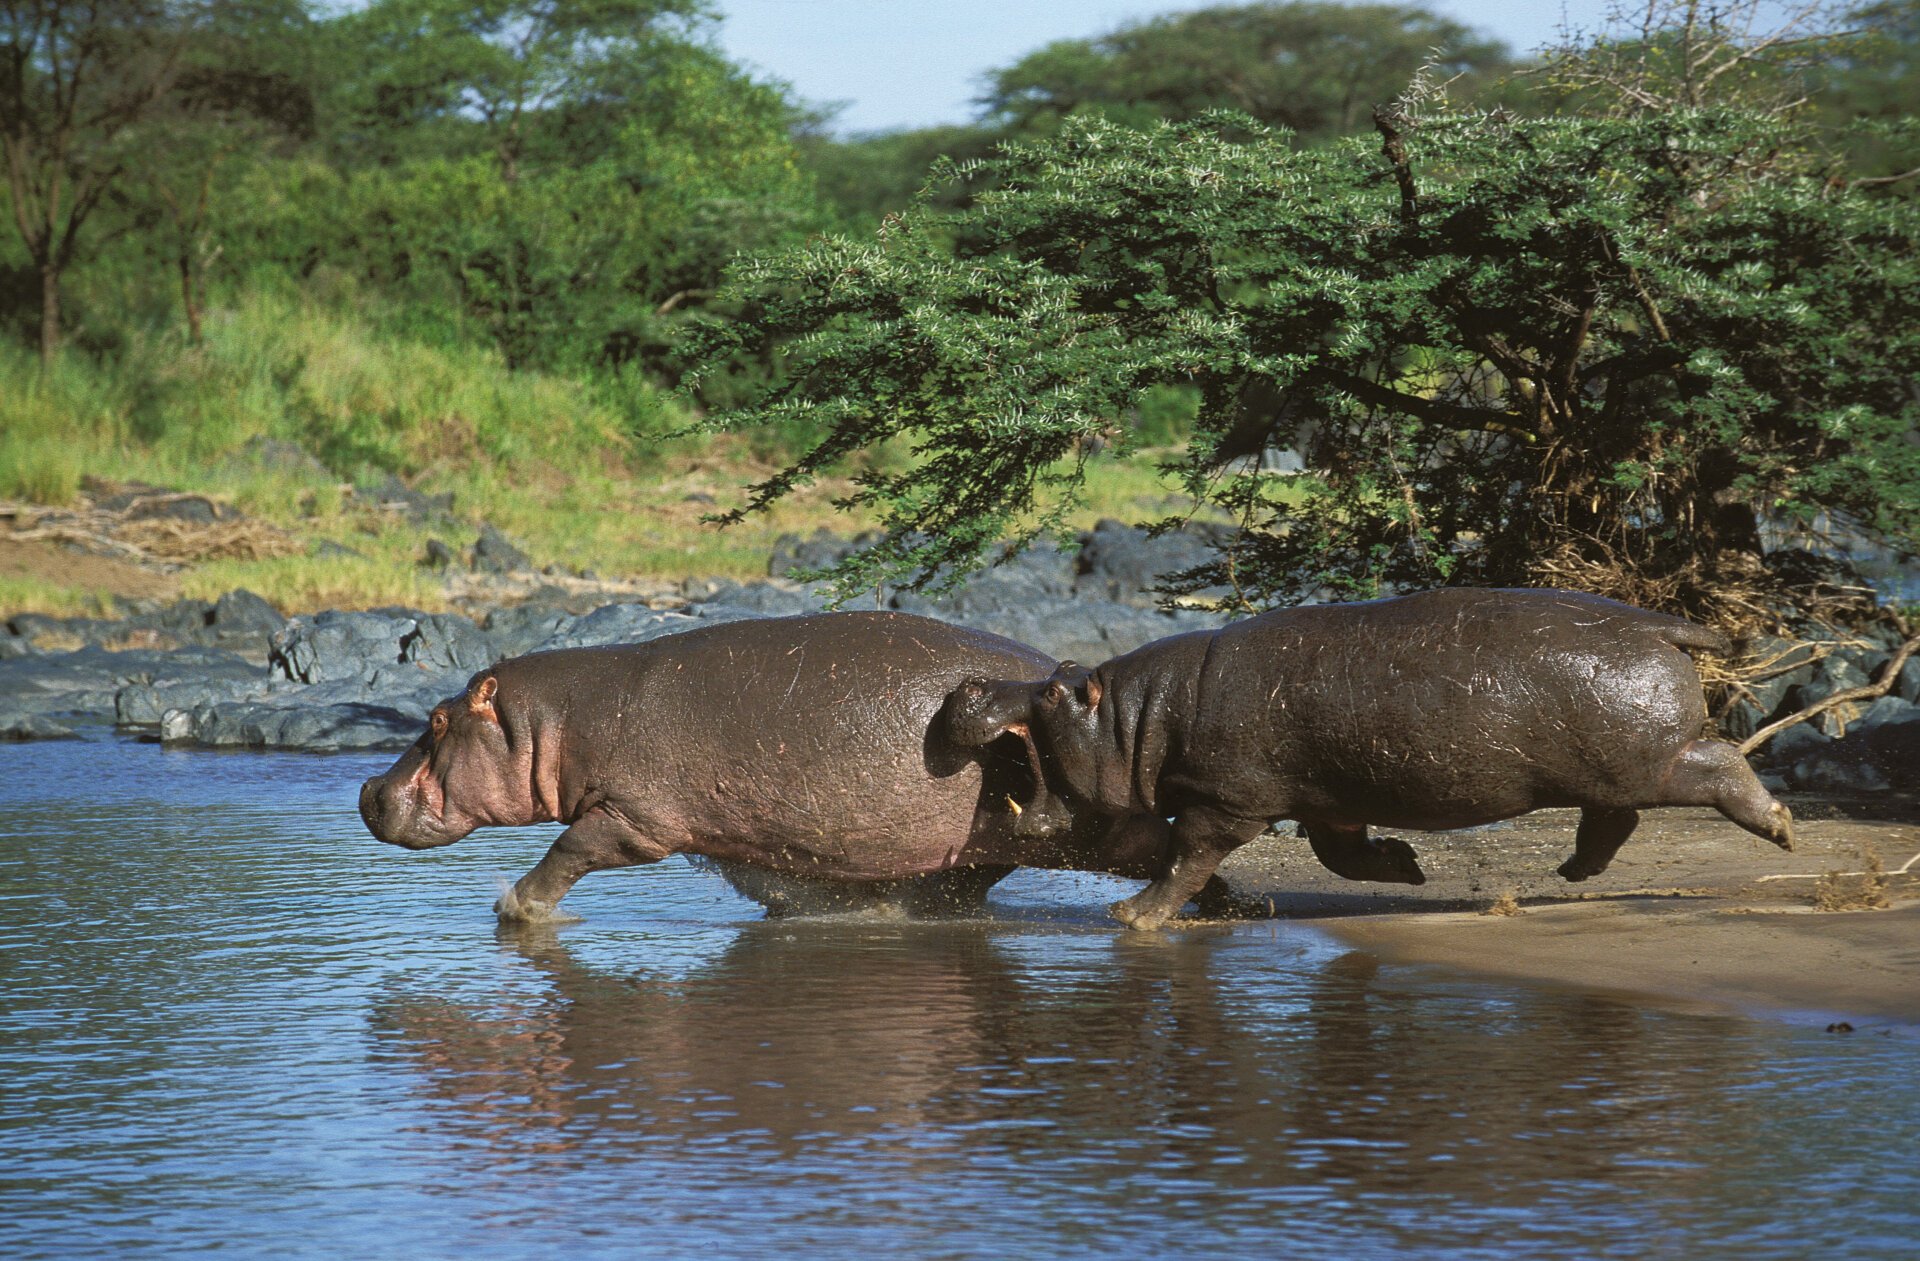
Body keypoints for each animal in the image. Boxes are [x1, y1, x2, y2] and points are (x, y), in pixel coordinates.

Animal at [351, 606, 1175, 913]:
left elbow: (568, 851)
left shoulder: (634, 819)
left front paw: (516, 907)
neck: (557, 719)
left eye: (437, 719)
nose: (366, 789)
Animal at [944, 583, 1797, 928]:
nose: (971, 685)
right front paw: (1408, 866)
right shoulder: (1329, 799)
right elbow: (1342, 856)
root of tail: (1661, 624)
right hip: (1609, 766)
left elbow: (1186, 857)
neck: (1140, 719)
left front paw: (1133, 916)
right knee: (1612, 820)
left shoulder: (1228, 801)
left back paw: (1783, 827)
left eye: (1055, 691)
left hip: (1652, 760)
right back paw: (1572, 872)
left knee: (1720, 765)